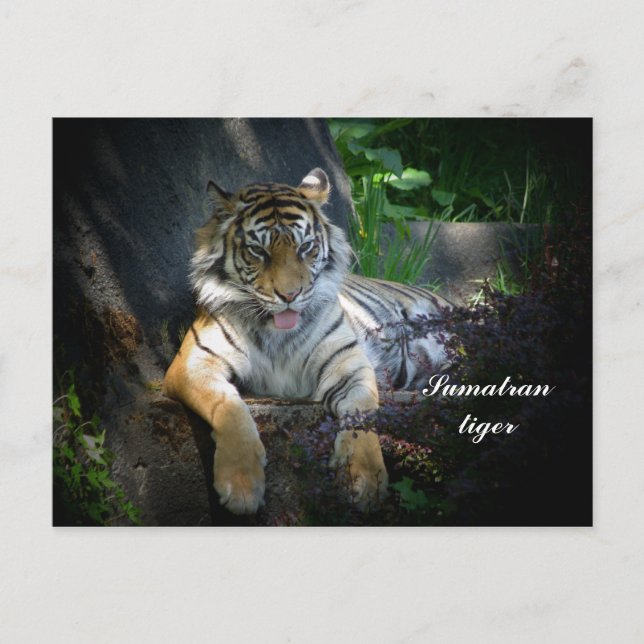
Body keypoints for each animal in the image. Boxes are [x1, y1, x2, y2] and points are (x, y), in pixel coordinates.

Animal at [163, 168, 449, 515]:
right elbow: (228, 406)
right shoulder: (194, 363)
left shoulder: (350, 367)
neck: (277, 332)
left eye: (306, 247)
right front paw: (242, 485)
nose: (289, 296)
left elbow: (363, 413)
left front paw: (366, 481)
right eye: (258, 251)